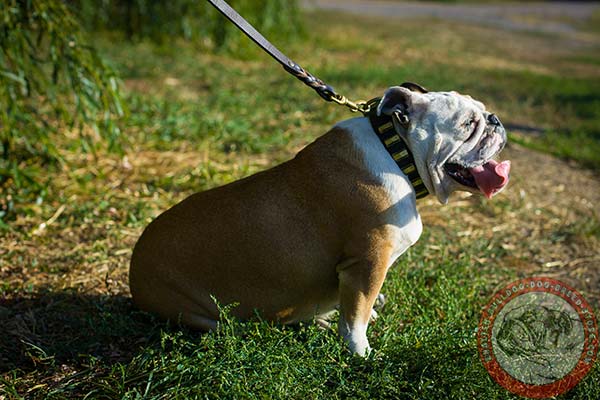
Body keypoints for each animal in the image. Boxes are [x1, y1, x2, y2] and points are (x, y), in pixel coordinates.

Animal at [130, 83, 510, 354]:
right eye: (467, 124)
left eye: (482, 113)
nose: (495, 120)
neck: (397, 152)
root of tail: (134, 272)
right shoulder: (367, 262)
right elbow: (355, 317)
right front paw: (360, 352)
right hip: (205, 314)